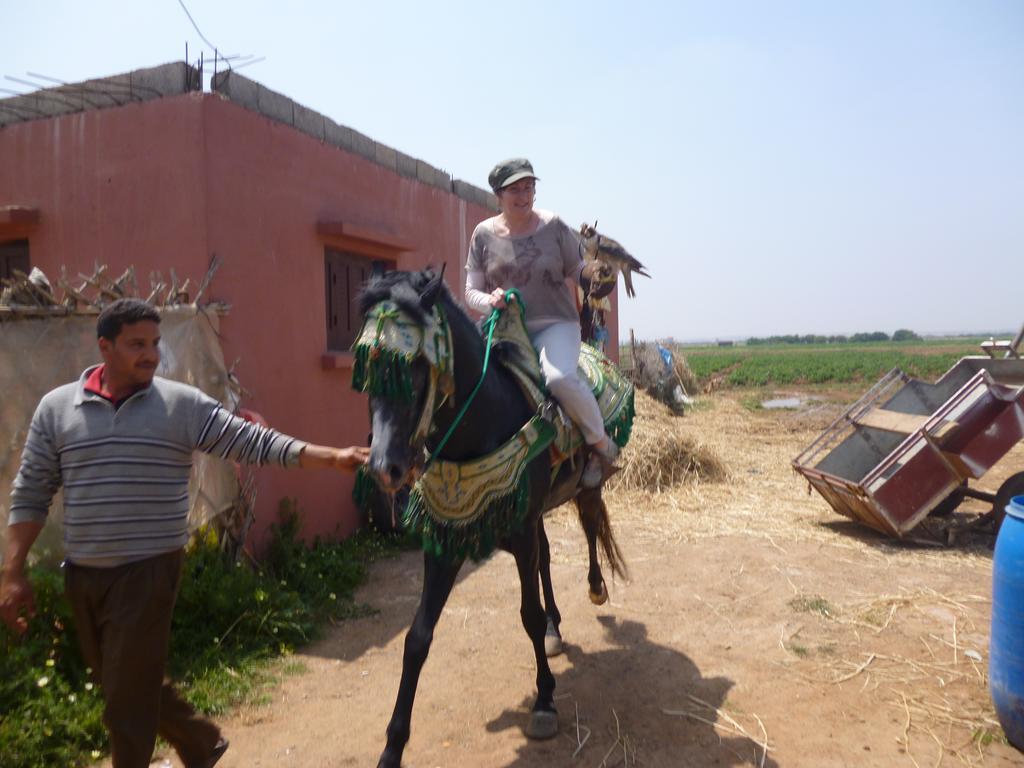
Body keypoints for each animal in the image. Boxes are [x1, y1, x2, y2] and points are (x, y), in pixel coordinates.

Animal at [356, 268, 626, 768]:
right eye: (365, 370)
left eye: (414, 367)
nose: (386, 469)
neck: (480, 425)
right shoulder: (447, 541)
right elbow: (417, 638)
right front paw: (392, 746)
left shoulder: (518, 533)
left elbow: (528, 616)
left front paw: (544, 701)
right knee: (547, 560)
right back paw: (558, 629)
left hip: (584, 485)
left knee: (590, 526)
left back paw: (596, 587)